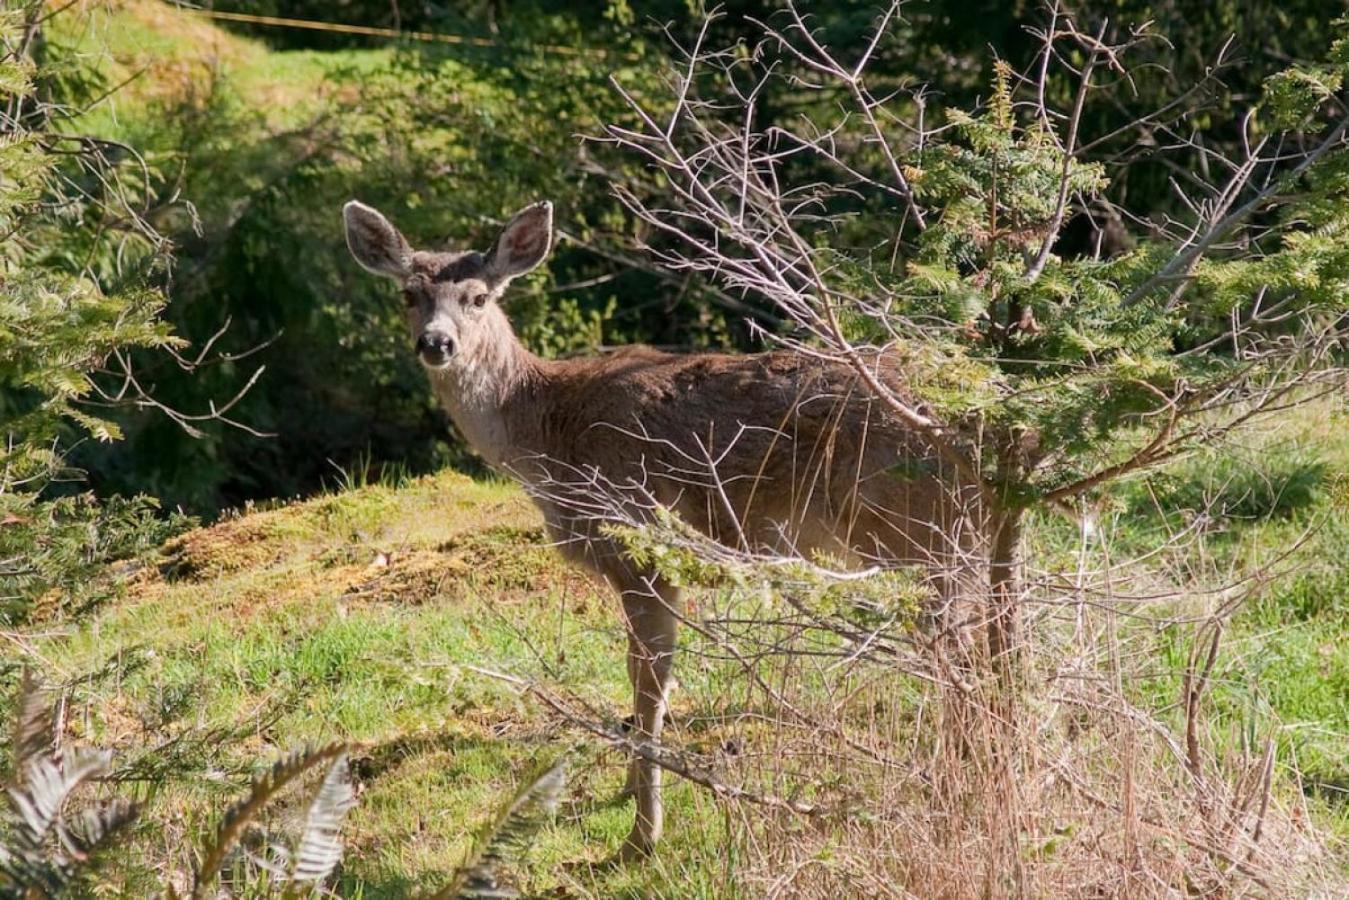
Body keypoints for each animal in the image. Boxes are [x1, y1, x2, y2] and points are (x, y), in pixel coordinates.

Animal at [335, 201, 971, 863]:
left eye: (479, 297)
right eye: (409, 294)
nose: (437, 342)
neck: (548, 436)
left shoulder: (641, 549)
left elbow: (649, 683)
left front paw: (642, 836)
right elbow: (641, 679)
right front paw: (624, 793)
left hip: (907, 524)